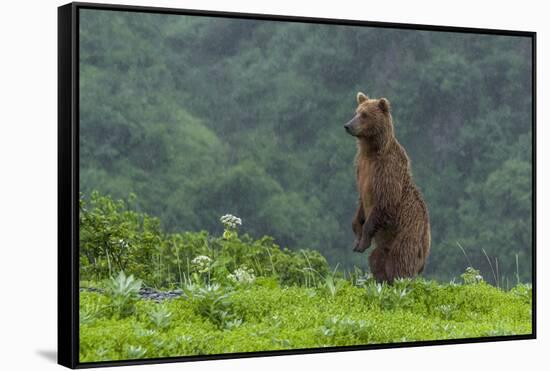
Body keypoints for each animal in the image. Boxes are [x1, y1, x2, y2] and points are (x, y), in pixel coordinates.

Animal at [344, 92, 432, 282]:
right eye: (356, 112)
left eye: (364, 115)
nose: (348, 125)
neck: (371, 150)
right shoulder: (361, 167)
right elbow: (361, 204)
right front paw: (356, 237)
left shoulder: (386, 171)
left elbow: (385, 201)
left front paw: (363, 241)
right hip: (384, 246)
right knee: (376, 260)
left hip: (406, 237)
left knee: (400, 264)